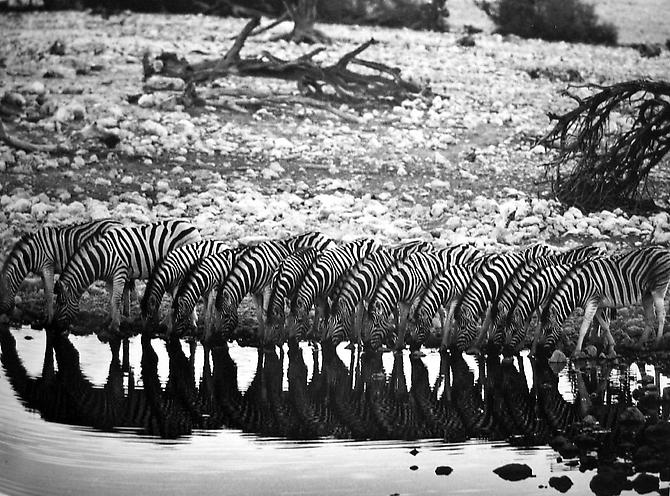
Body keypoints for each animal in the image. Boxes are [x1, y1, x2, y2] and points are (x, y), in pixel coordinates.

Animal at [52, 220, 201, 336]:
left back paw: (182, 322)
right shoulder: (109, 279)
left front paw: (114, 326)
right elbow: (111, 299)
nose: (56, 327)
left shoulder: (120, 273)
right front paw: (109, 319)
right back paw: (186, 322)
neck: (103, 257)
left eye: (62, 303)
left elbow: (116, 299)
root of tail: (191, 226)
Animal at [541, 245, 670, 355]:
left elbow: (584, 327)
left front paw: (576, 351)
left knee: (661, 315)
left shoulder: (592, 301)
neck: (579, 288)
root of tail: (662, 248)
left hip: (658, 289)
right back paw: (638, 345)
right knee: (650, 317)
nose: (542, 352)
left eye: (549, 330)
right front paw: (611, 345)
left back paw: (657, 343)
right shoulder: (598, 304)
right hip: (647, 294)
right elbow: (604, 325)